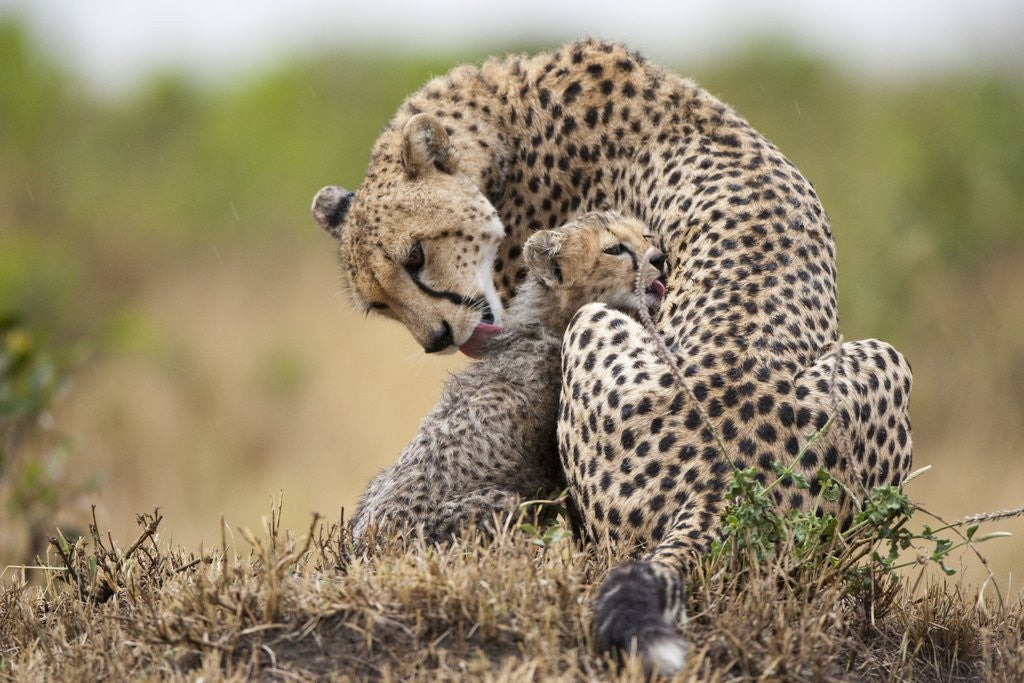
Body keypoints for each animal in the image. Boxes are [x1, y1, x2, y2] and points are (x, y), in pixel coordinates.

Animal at [350, 211, 666, 544]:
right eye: (614, 249)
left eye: (646, 236)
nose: (659, 257)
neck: (548, 321)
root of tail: (364, 542)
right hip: (501, 504)